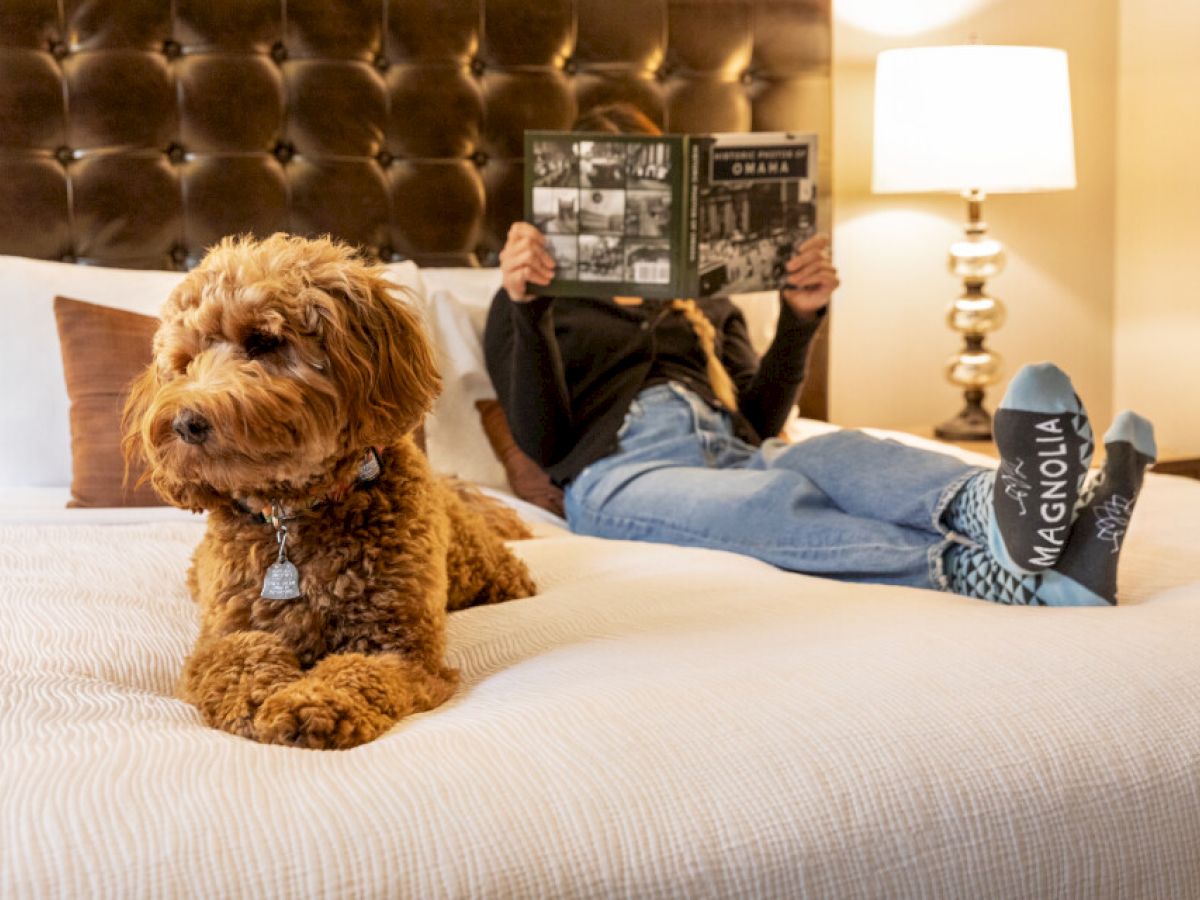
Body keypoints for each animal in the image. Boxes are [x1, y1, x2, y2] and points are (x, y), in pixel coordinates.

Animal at [123, 234, 535, 753]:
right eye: (183, 363)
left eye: (264, 342)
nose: (184, 423)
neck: (293, 515)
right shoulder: (226, 636)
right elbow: (239, 662)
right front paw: (263, 699)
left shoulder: (395, 646)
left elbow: (355, 672)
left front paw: (311, 704)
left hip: (481, 567)